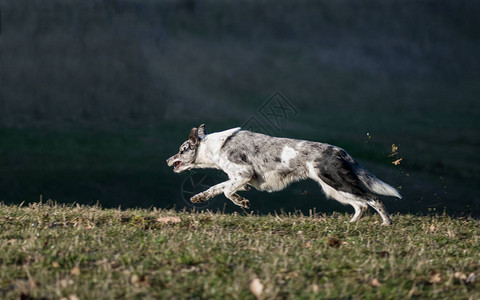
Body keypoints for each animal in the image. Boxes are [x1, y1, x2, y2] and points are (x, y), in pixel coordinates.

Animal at [167, 124, 400, 225]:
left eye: (181, 150)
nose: (168, 160)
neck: (215, 147)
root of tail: (340, 150)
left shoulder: (243, 173)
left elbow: (226, 192)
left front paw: (242, 202)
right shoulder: (238, 178)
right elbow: (216, 188)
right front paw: (199, 198)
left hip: (338, 183)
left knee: (373, 198)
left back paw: (386, 224)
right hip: (334, 190)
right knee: (361, 206)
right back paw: (350, 225)